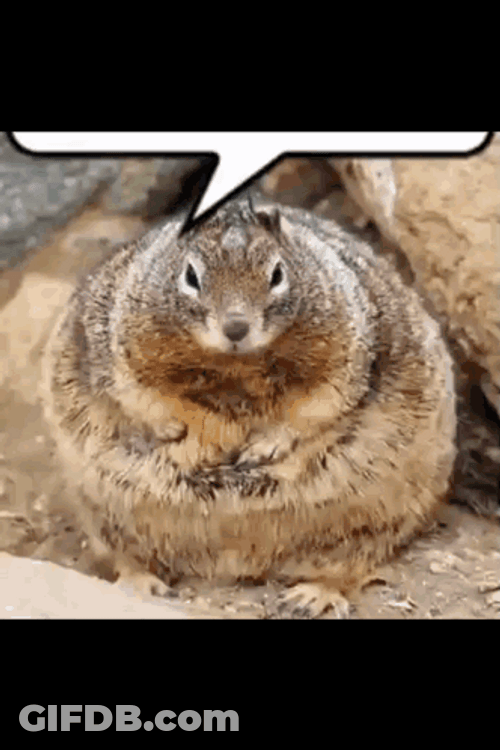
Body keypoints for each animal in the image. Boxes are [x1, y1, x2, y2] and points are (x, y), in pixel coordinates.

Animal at [41, 192, 457, 617]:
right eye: (191, 276)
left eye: (277, 273)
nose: (236, 327)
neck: (235, 366)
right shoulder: (118, 344)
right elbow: (149, 398)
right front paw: (199, 443)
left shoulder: (349, 348)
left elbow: (318, 403)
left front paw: (262, 448)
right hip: (104, 517)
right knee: (128, 558)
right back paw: (142, 584)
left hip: (373, 521)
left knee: (348, 565)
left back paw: (311, 597)